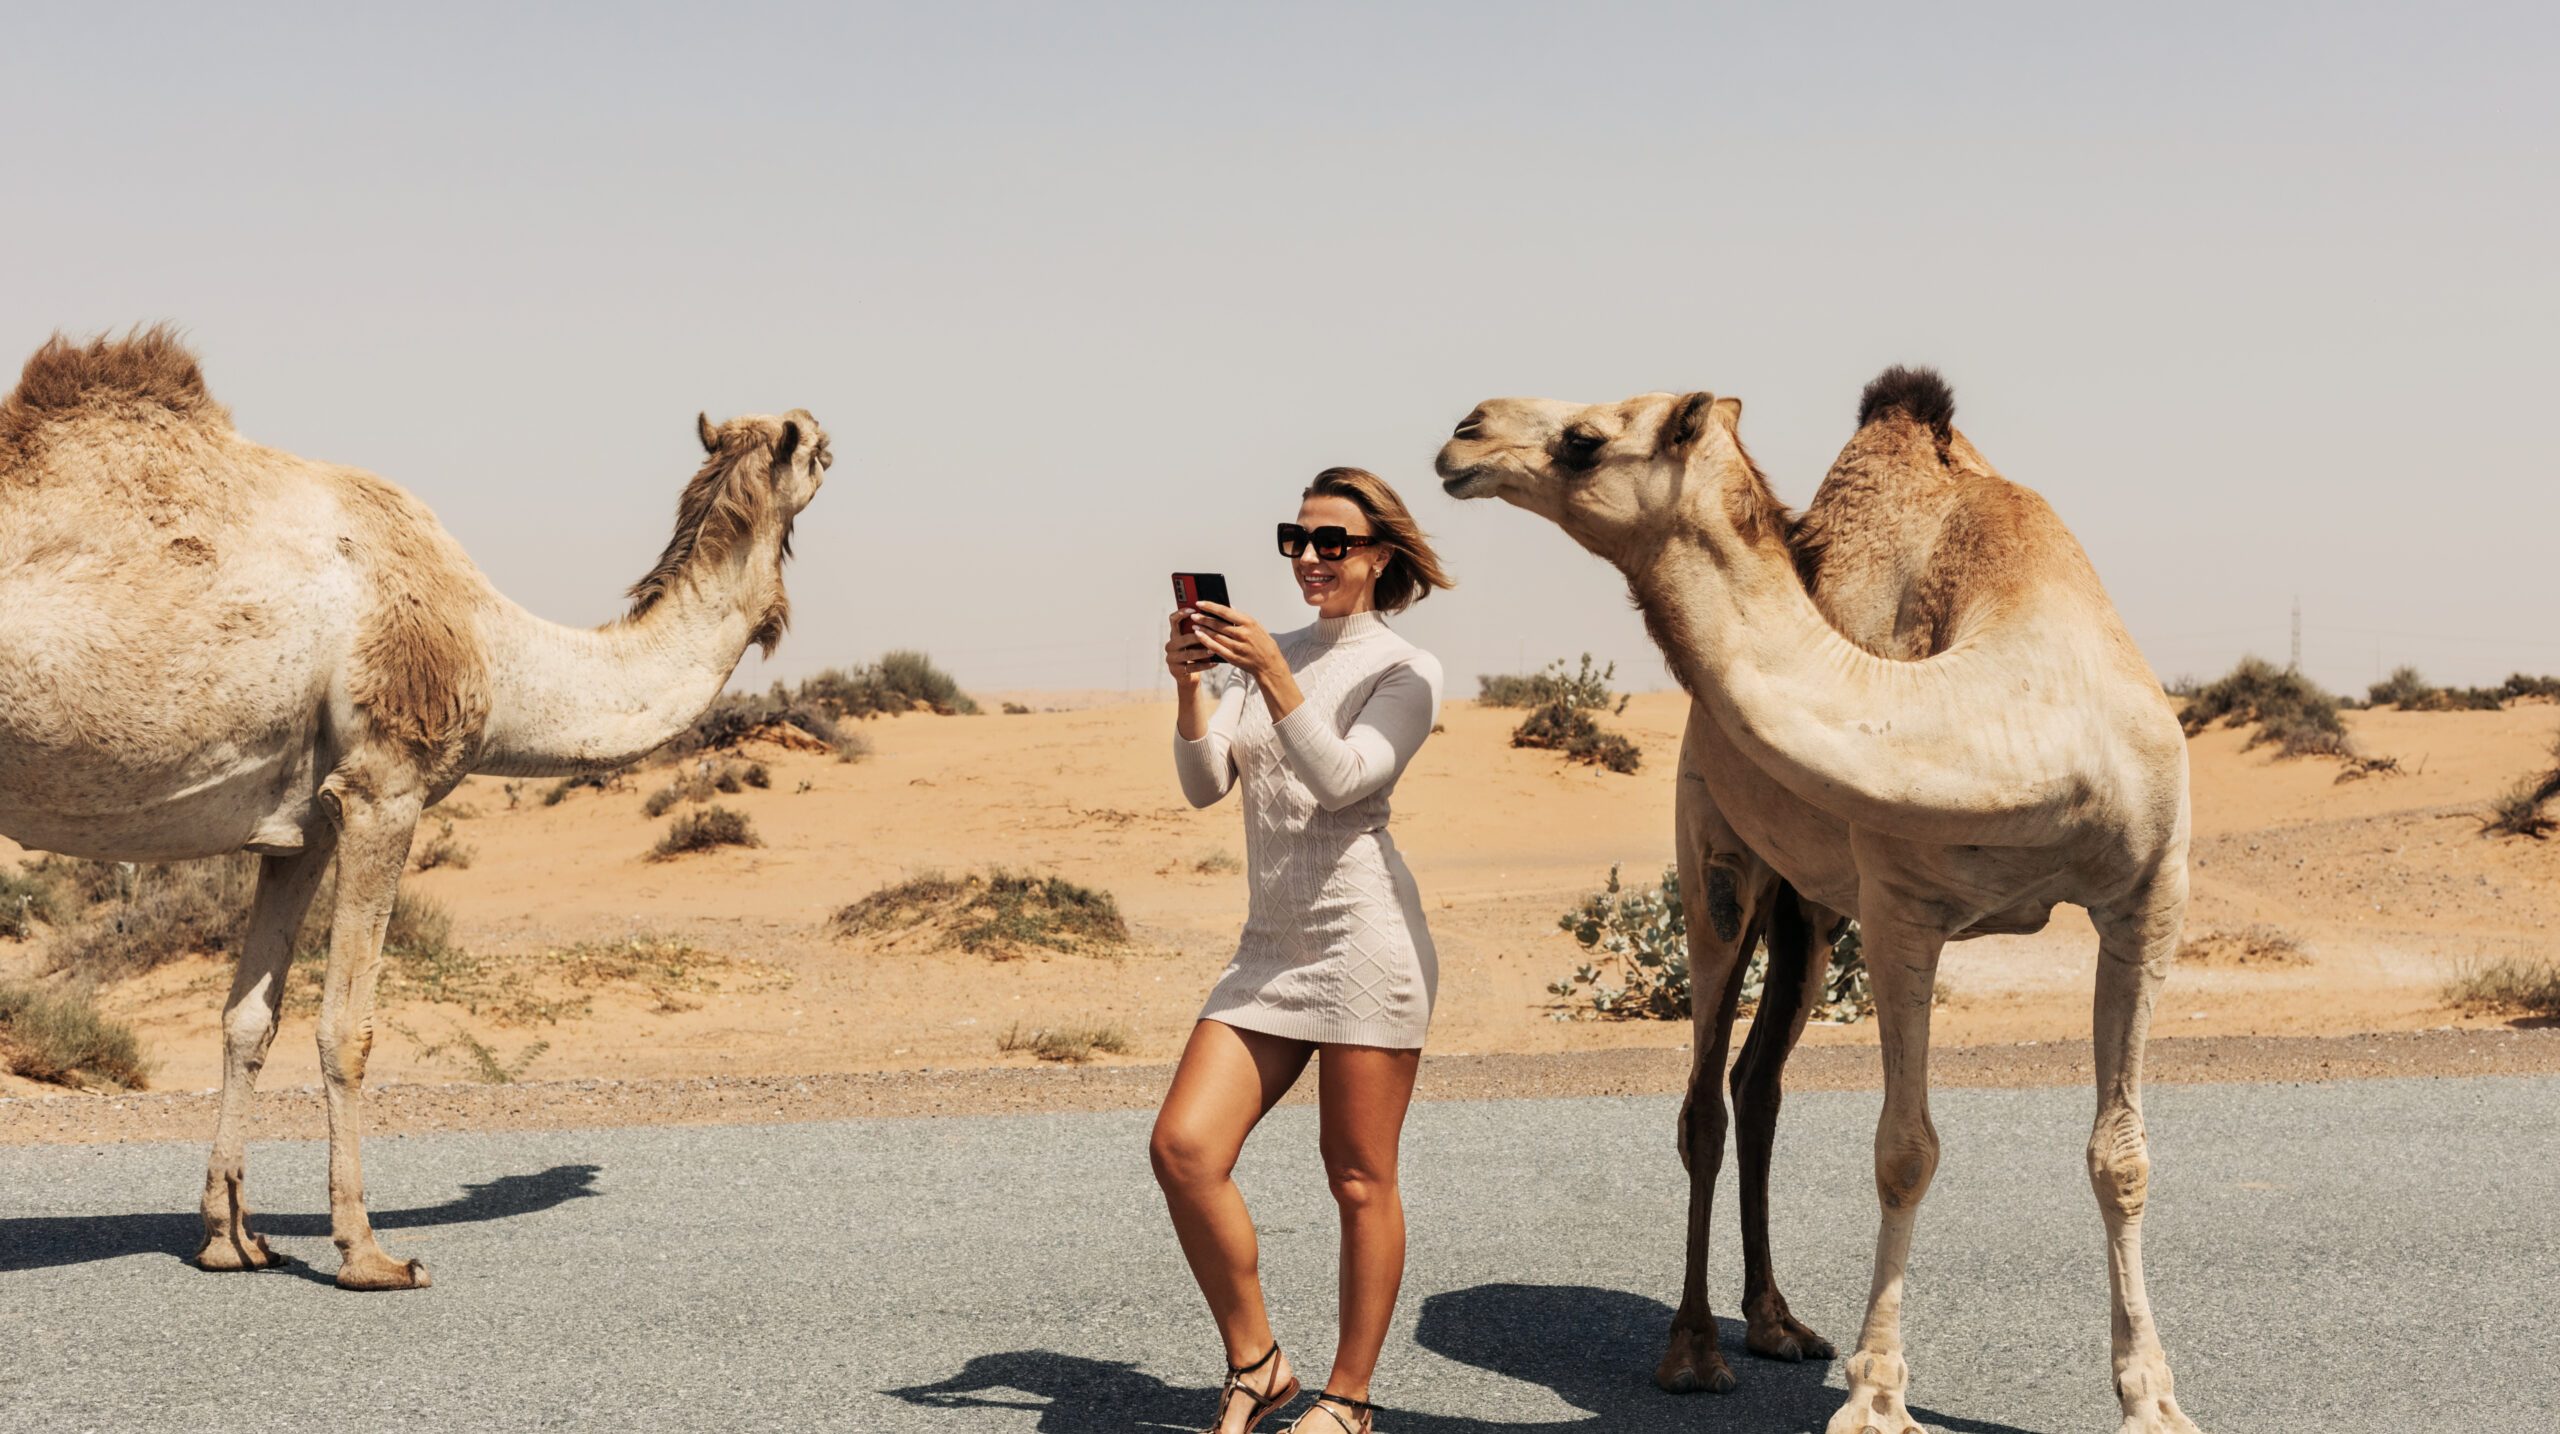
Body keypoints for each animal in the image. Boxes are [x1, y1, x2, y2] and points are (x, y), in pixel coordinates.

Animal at [0, 328, 828, 1290]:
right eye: (813, 447)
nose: (824, 428)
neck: (497, 649)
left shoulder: (298, 828)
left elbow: (249, 1021)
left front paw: (231, 1240)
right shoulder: (384, 786)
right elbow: (345, 1028)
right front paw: (368, 1253)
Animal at [1436, 368, 2200, 1434]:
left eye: (1584, 439)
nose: (1463, 435)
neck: (2030, 719)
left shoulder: (2147, 895)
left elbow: (2121, 1155)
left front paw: (2153, 1397)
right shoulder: (1901, 909)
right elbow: (1906, 1149)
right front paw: (1877, 1396)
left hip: (1811, 915)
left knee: (1756, 1085)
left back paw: (1778, 1323)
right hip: (1716, 863)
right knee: (1702, 1102)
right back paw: (1695, 1351)